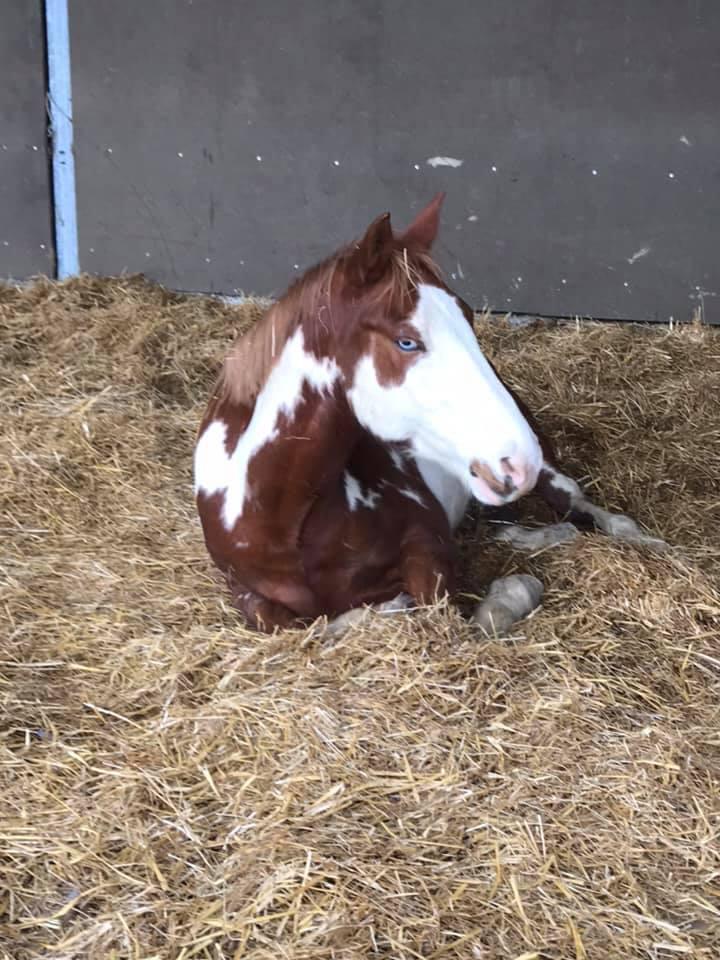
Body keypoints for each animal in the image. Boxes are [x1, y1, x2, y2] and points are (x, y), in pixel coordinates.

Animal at [193, 191, 664, 632]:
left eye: (469, 317)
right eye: (407, 341)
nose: (519, 463)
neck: (282, 520)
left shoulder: (427, 543)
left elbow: (438, 609)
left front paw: (507, 593)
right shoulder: (246, 593)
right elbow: (290, 622)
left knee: (585, 508)